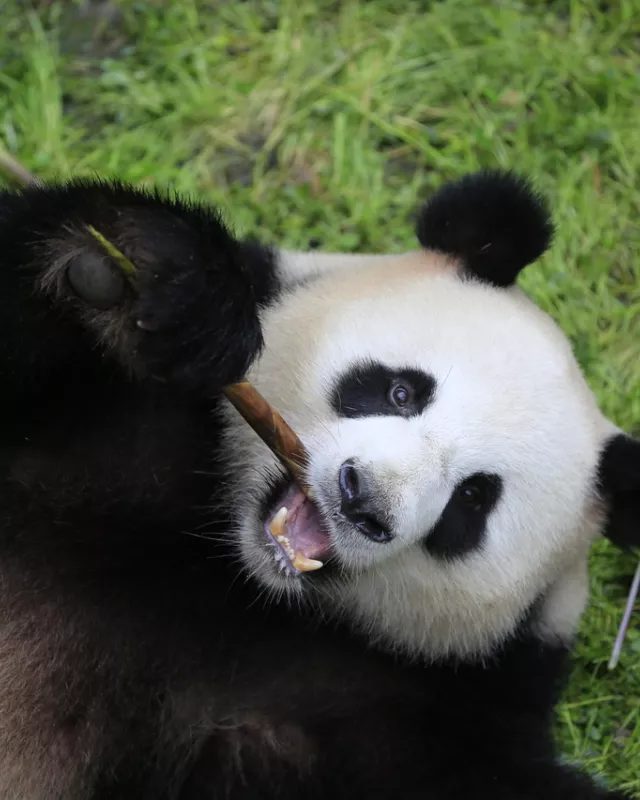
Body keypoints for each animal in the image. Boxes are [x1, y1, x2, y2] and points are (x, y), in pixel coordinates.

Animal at [0, 168, 638, 800]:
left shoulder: (429, 716)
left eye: (472, 499)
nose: (362, 500)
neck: (237, 577)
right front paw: (148, 279)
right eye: (401, 391)